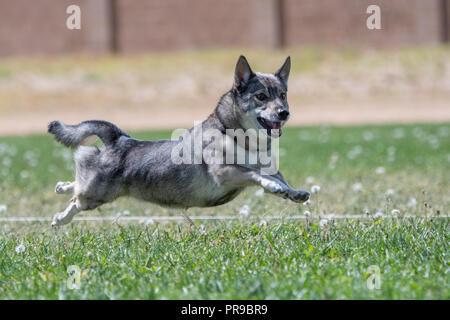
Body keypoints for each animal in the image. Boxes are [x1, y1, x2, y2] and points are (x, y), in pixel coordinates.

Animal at [48, 57, 310, 228]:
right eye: (261, 96)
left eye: (283, 95)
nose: (284, 113)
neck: (239, 137)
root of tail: (119, 139)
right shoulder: (225, 172)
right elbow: (257, 174)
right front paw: (273, 186)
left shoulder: (266, 167)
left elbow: (280, 177)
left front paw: (293, 192)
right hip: (96, 194)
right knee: (76, 200)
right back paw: (60, 218)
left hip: (95, 189)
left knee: (77, 185)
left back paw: (61, 186)